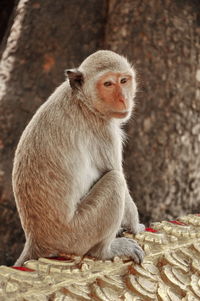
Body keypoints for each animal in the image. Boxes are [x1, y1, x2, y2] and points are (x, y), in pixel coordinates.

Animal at [13, 49, 145, 264]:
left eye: (124, 80)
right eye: (108, 84)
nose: (123, 99)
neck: (83, 100)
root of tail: (36, 239)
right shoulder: (104, 132)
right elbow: (117, 175)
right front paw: (135, 225)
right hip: (77, 233)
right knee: (115, 181)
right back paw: (105, 251)